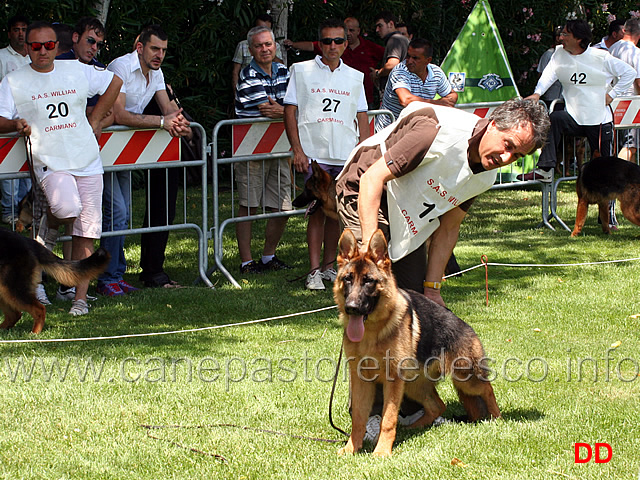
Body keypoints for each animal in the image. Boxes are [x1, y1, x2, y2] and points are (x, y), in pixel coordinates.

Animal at [336, 230, 500, 458]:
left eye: (368, 281)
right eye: (348, 279)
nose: (351, 307)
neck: (373, 332)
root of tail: (466, 326)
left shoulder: (392, 381)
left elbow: (388, 419)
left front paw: (382, 451)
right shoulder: (362, 380)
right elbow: (359, 418)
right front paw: (352, 448)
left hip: (465, 378)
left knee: (487, 388)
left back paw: (497, 418)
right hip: (414, 385)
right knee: (438, 406)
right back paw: (415, 427)